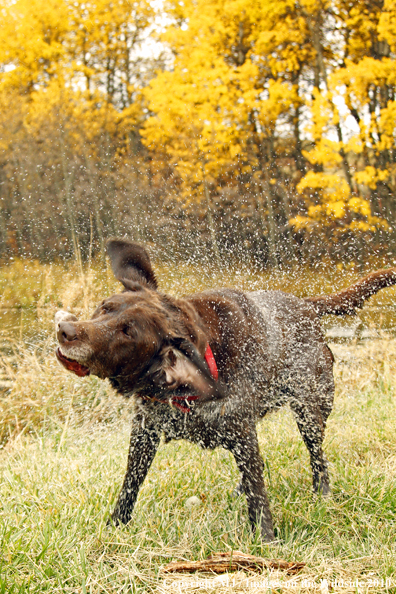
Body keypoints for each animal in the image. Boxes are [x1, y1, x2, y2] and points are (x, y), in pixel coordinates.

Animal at [55, 238, 396, 540]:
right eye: (104, 308)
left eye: (128, 333)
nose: (65, 330)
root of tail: (307, 305)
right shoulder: (144, 430)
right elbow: (130, 485)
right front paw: (115, 527)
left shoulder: (241, 431)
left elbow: (258, 495)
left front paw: (266, 540)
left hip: (311, 410)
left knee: (317, 458)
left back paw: (322, 495)